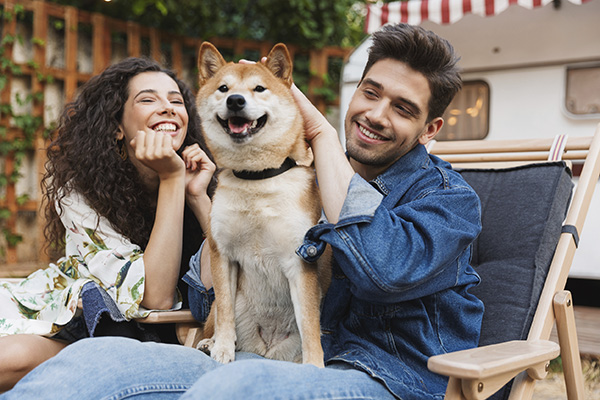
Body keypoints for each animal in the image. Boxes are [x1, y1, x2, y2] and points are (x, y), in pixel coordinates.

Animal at [195, 43, 330, 366]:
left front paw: (315, 365)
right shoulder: (223, 254)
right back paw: (209, 342)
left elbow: (310, 325)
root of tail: (265, 349)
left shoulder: (301, 260)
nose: (235, 100)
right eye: (223, 88)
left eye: (259, 88)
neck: (255, 178)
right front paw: (222, 348)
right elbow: (225, 312)